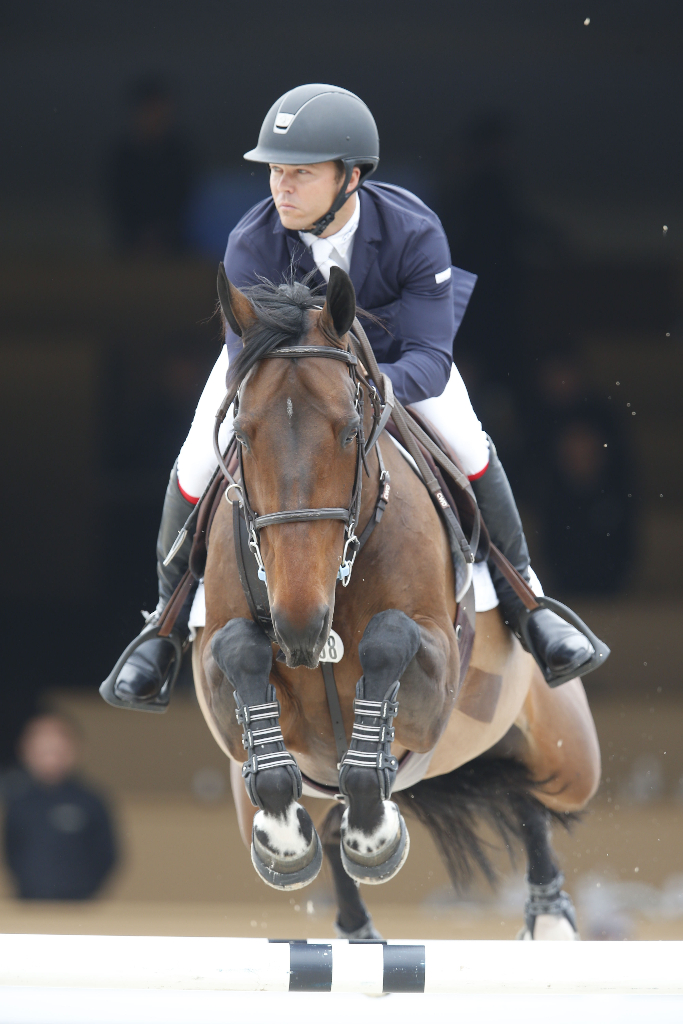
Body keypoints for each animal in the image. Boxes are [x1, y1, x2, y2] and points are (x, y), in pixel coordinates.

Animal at [191, 268, 598, 937]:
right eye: (242, 436)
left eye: (349, 432)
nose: (300, 628)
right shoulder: (220, 684)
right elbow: (240, 657)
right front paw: (285, 839)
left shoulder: (435, 681)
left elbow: (389, 638)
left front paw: (376, 832)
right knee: (331, 827)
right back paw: (356, 927)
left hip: (568, 758)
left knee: (531, 792)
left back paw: (550, 916)